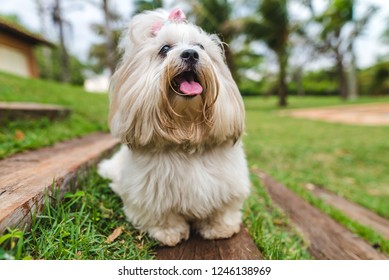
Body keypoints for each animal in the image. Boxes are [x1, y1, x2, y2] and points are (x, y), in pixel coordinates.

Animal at [97, 7, 249, 246]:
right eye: (165, 49)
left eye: (200, 47)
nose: (190, 54)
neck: (186, 131)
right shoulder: (151, 194)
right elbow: (161, 216)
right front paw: (169, 233)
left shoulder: (227, 185)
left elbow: (222, 210)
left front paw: (220, 228)